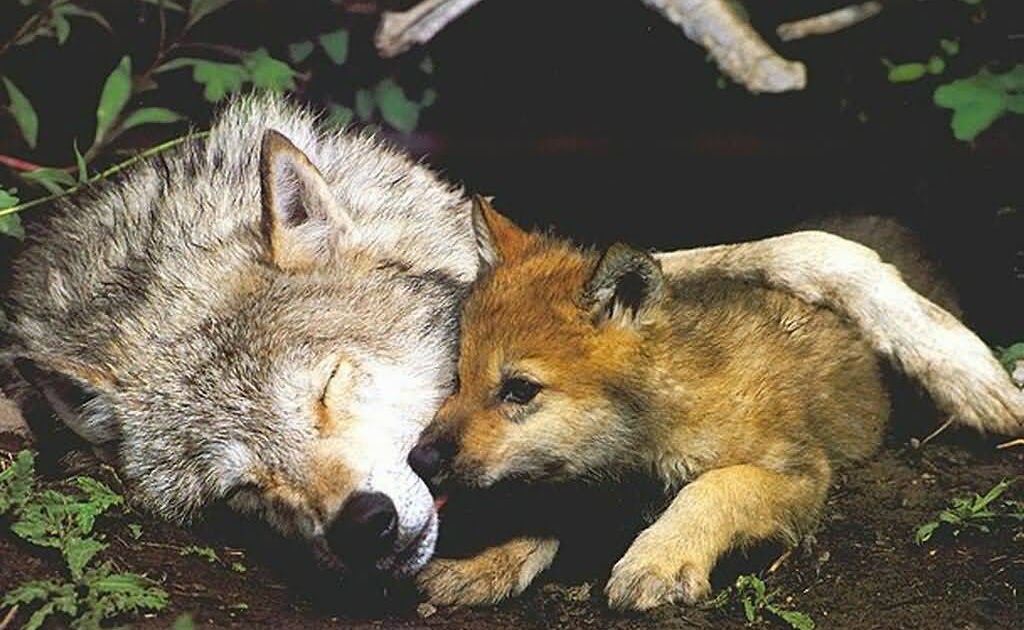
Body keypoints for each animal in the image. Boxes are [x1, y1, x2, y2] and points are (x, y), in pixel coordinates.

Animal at [409, 199, 1024, 610]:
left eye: (519, 389)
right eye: (457, 378)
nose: (419, 459)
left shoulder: (801, 473)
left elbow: (714, 488)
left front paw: (658, 558)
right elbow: (545, 507)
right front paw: (484, 565)